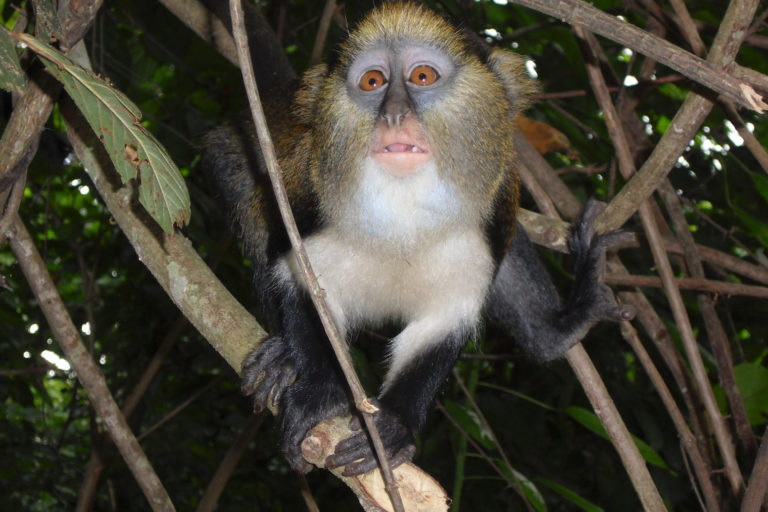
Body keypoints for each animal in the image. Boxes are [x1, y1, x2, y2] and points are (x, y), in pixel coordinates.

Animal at [201, 2, 632, 478]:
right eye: (373, 82)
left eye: (422, 76)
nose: (393, 116)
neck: (403, 213)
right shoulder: (309, 203)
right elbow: (301, 281)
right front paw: (318, 390)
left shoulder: (486, 222)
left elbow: (444, 321)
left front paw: (396, 425)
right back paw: (281, 355)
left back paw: (557, 328)